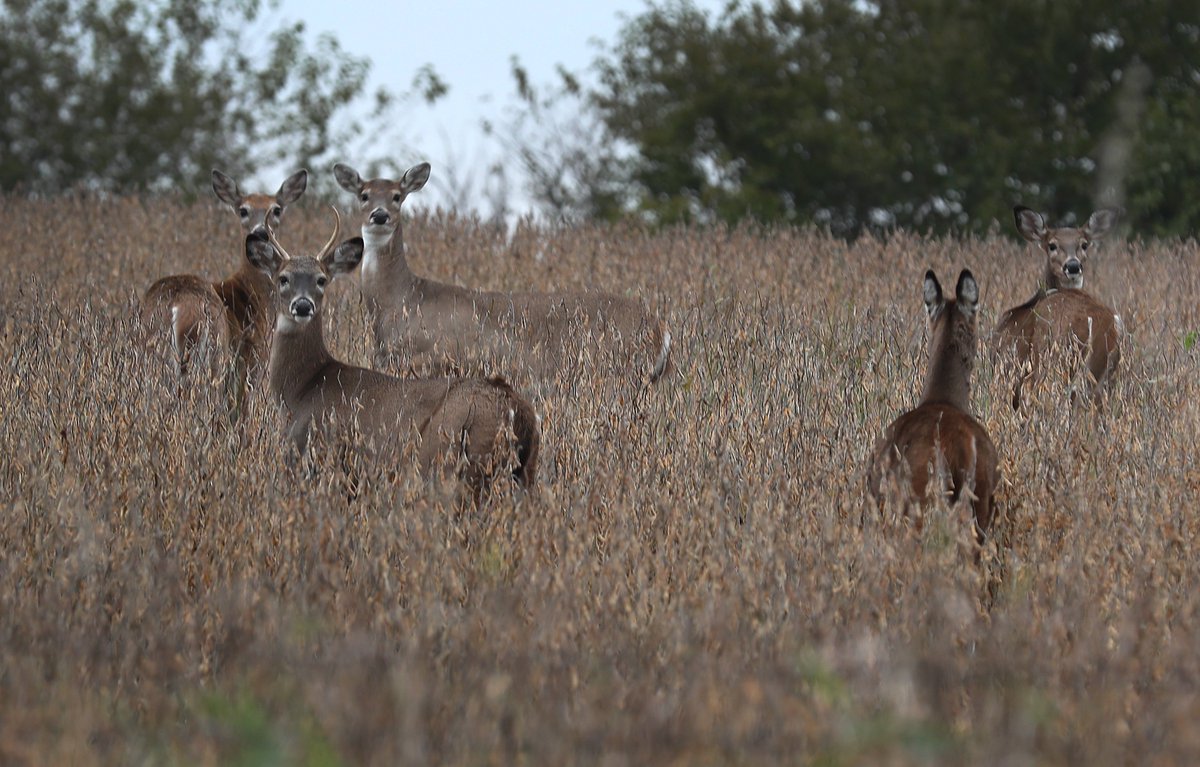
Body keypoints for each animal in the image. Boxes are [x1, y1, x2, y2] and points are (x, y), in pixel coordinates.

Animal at [141, 169, 308, 403]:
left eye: (276, 209)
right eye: (243, 210)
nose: (261, 233)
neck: (253, 294)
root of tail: (178, 304)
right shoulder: (250, 366)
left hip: (152, 358)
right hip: (213, 358)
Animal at [244, 209, 540, 497]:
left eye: (321, 280)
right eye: (283, 278)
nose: (303, 305)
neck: (302, 390)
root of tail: (516, 408)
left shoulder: (311, 454)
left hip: (444, 459)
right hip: (524, 472)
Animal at [332, 162, 672, 385]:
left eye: (397, 195)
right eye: (364, 194)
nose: (379, 216)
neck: (401, 300)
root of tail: (661, 329)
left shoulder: (439, 359)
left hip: (616, 372)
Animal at [993, 205, 1122, 409]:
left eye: (1084, 244)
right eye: (1052, 245)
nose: (1073, 265)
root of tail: (1100, 323)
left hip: (1052, 357)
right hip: (1105, 376)